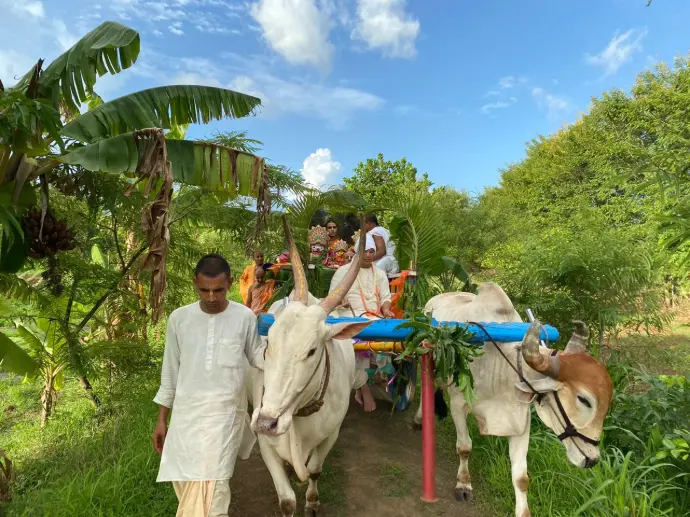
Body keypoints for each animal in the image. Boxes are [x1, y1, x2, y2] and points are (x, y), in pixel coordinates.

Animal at [246, 216, 371, 517]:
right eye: (268, 346)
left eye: (312, 350)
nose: (267, 422)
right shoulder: (265, 443)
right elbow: (286, 500)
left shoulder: (330, 436)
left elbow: (314, 470)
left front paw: (312, 503)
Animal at [414, 284, 614, 517]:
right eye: (584, 400)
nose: (593, 459)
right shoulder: (458, 405)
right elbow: (464, 447)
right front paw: (463, 484)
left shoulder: (521, 421)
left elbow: (521, 477)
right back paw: (418, 419)